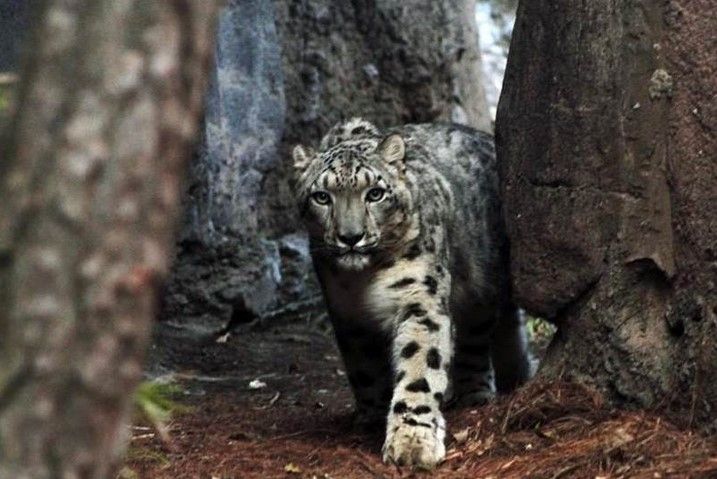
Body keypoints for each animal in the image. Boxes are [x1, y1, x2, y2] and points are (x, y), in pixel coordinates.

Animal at [291, 118, 532, 469]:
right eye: (322, 197)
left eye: (375, 193)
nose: (350, 237)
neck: (362, 279)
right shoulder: (348, 314)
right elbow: (363, 368)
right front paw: (372, 416)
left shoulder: (419, 298)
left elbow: (419, 367)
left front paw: (412, 442)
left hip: (481, 286)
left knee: (476, 341)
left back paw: (475, 394)